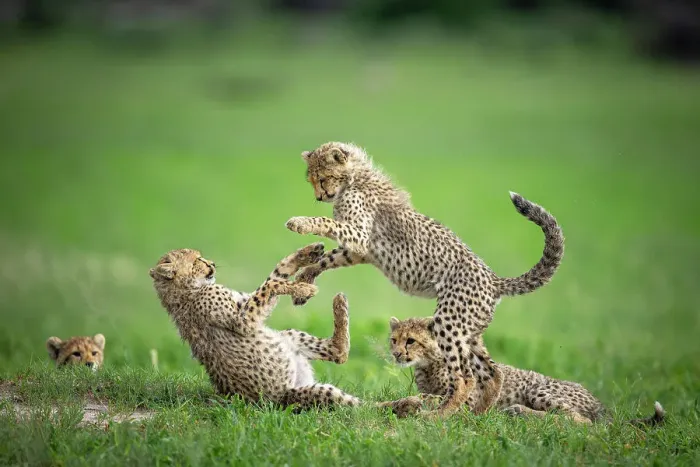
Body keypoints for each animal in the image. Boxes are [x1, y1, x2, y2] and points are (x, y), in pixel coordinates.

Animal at [149, 243, 423, 415]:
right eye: (197, 260)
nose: (213, 264)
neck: (183, 291)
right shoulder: (243, 321)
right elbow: (271, 285)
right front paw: (302, 288)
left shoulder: (248, 306)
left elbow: (274, 275)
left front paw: (305, 254)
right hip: (308, 395)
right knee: (359, 408)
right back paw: (406, 404)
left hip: (288, 338)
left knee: (338, 352)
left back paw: (339, 305)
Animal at [285, 141, 565, 417]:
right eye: (312, 180)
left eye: (323, 178)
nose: (319, 196)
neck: (355, 179)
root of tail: (493, 280)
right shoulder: (359, 250)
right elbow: (327, 259)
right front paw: (304, 282)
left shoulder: (359, 234)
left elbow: (326, 223)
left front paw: (300, 223)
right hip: (470, 332)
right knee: (492, 373)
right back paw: (477, 414)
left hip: (449, 323)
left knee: (465, 377)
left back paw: (440, 415)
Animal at [388, 316, 665, 427]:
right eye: (394, 340)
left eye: (411, 341)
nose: (397, 354)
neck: (429, 365)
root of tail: (599, 404)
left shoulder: (469, 397)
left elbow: (440, 398)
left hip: (539, 389)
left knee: (579, 420)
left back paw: (519, 411)